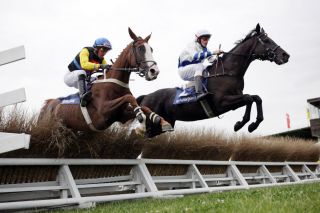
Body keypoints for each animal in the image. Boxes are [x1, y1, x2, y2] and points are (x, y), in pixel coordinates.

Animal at [39, 28, 172, 136]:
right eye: (140, 48)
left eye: (151, 49)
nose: (154, 71)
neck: (115, 84)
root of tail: (49, 104)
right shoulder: (103, 111)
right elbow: (129, 97)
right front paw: (141, 121)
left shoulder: (120, 115)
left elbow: (143, 106)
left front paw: (161, 120)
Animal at [136, 23, 292, 133]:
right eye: (266, 40)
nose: (285, 55)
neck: (228, 72)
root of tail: (146, 96)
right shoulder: (222, 102)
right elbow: (249, 98)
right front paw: (241, 124)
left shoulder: (235, 99)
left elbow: (256, 98)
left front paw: (253, 124)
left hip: (163, 125)